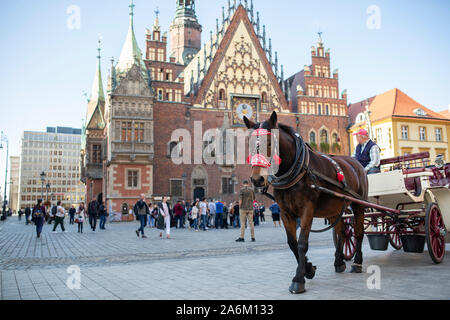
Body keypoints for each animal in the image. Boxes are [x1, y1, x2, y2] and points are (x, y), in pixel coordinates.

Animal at [244, 111, 368, 294]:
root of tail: (356, 163)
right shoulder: (285, 212)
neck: (297, 170)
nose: (257, 179)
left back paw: (357, 262)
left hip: (358, 205)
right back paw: (339, 262)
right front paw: (308, 268)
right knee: (342, 231)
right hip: (333, 209)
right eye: (250, 144)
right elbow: (292, 243)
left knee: (358, 233)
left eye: (270, 142)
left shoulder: (307, 210)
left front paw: (298, 279)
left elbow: (302, 243)